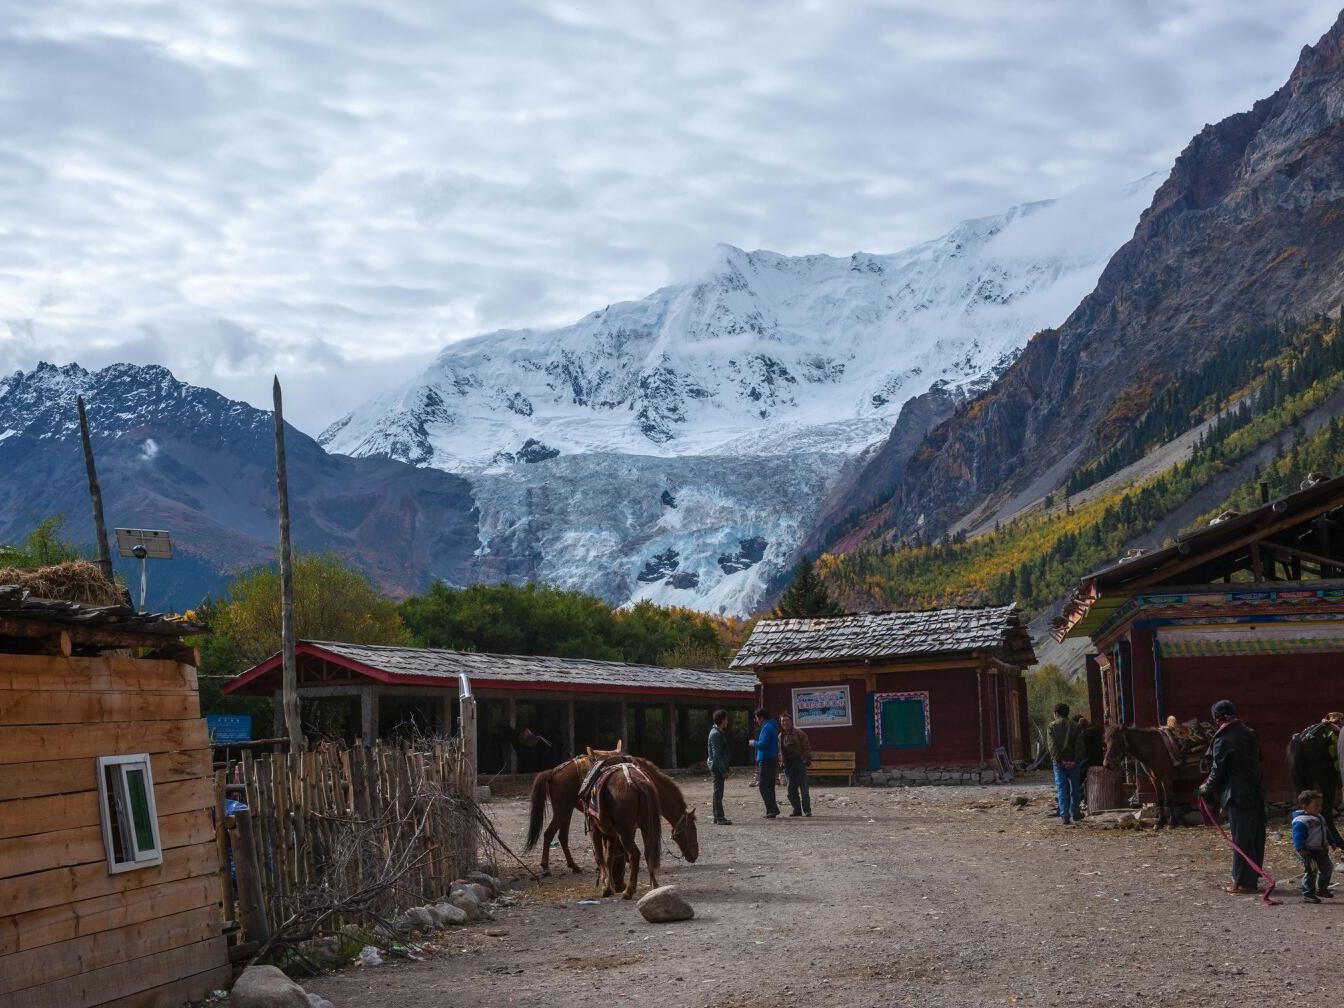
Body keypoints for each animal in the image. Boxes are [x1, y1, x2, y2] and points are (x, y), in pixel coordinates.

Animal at [524, 752, 698, 870]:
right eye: (692, 829)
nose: (695, 855)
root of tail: (553, 771)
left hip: (567, 811)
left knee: (562, 836)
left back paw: (574, 866)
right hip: (562, 810)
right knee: (549, 834)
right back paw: (545, 866)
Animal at [588, 763, 661, 897]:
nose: (619, 885)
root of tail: (637, 781)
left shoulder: (594, 830)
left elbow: (600, 856)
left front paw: (606, 887)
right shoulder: (611, 834)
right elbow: (609, 857)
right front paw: (609, 884)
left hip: (624, 832)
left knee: (635, 854)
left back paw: (629, 891)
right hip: (646, 827)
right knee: (649, 852)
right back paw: (654, 887)